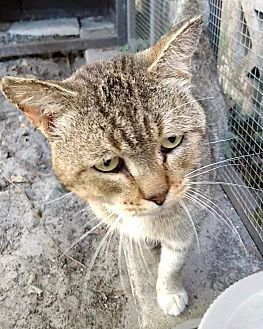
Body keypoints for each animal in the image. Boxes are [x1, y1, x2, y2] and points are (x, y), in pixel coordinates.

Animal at [1, 17, 217, 316]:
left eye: (171, 141)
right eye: (108, 164)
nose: (159, 195)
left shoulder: (186, 220)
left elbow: (172, 265)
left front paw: (169, 293)